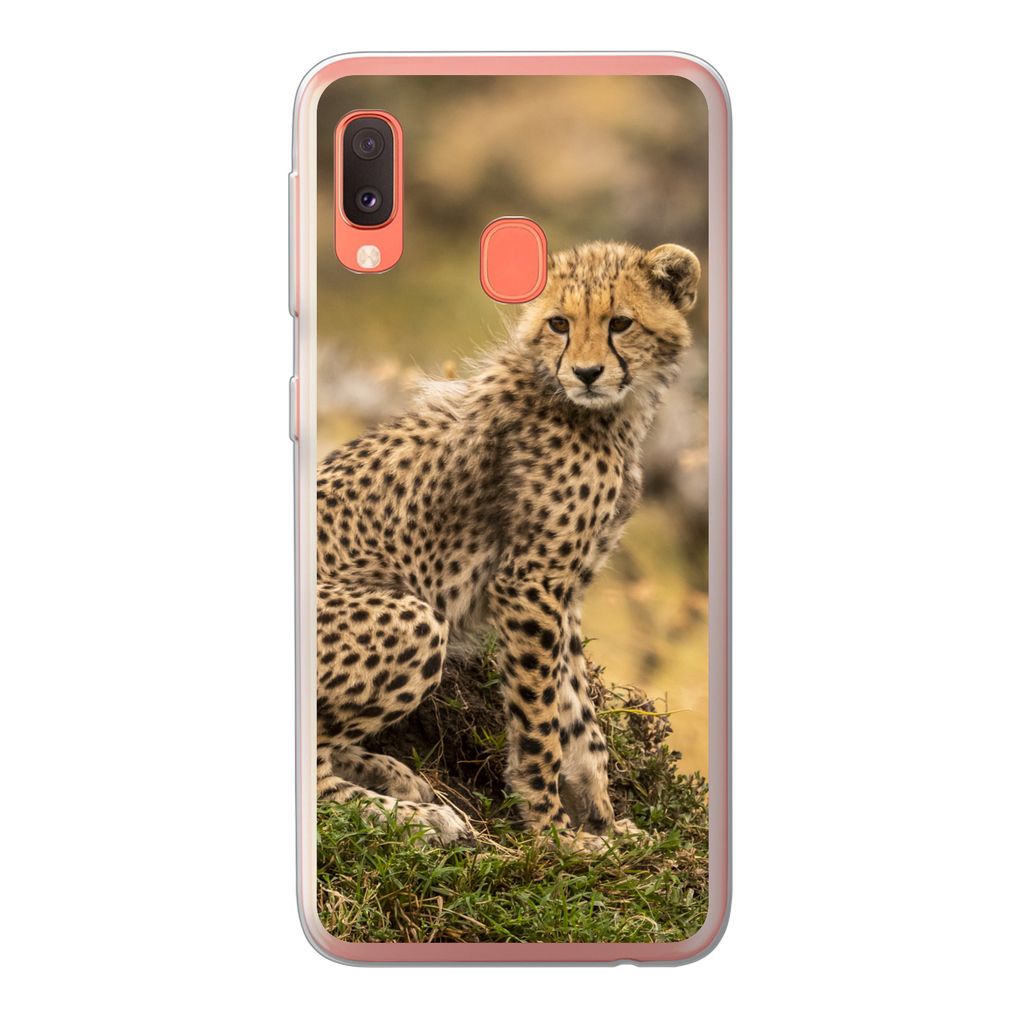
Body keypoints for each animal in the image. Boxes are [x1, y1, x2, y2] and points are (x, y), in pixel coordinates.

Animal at [315, 240, 701, 848]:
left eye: (620, 323)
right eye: (560, 323)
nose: (587, 373)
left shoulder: (564, 590)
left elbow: (580, 717)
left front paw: (606, 821)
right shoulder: (528, 584)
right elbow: (540, 720)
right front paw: (555, 835)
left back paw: (393, 775)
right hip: (415, 618)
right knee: (314, 770)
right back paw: (413, 817)